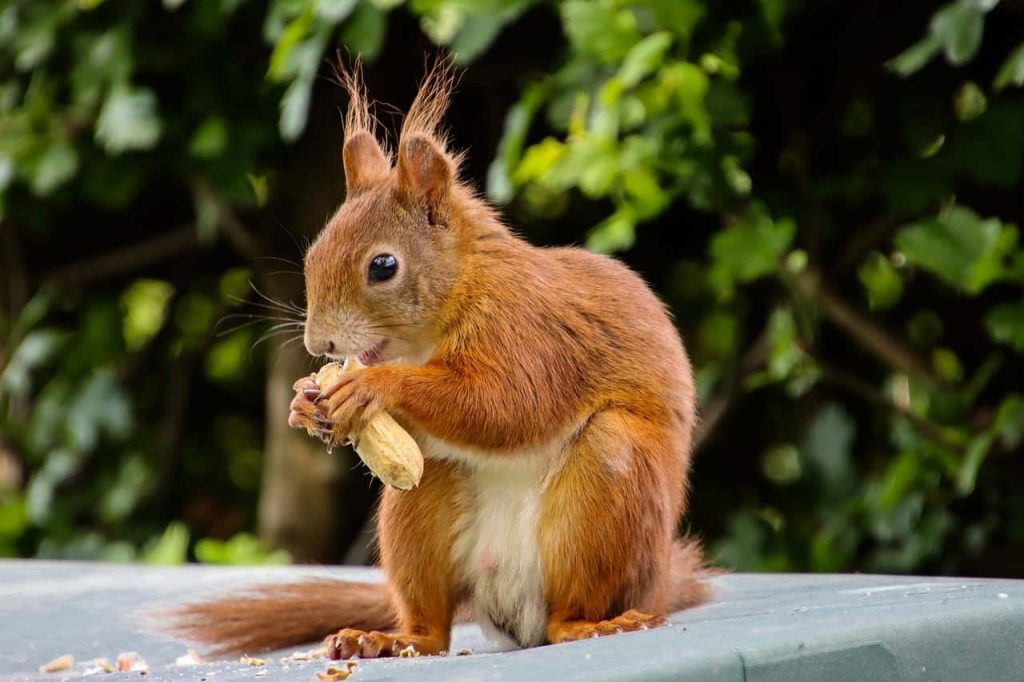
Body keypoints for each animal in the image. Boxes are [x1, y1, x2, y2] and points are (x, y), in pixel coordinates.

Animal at [169, 62, 712, 659]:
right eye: (313, 256)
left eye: (383, 266)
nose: (319, 345)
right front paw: (304, 404)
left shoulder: (529, 332)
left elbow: (507, 406)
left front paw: (375, 387)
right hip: (420, 500)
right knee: (432, 624)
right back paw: (385, 638)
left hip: (611, 489)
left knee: (572, 603)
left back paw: (589, 625)